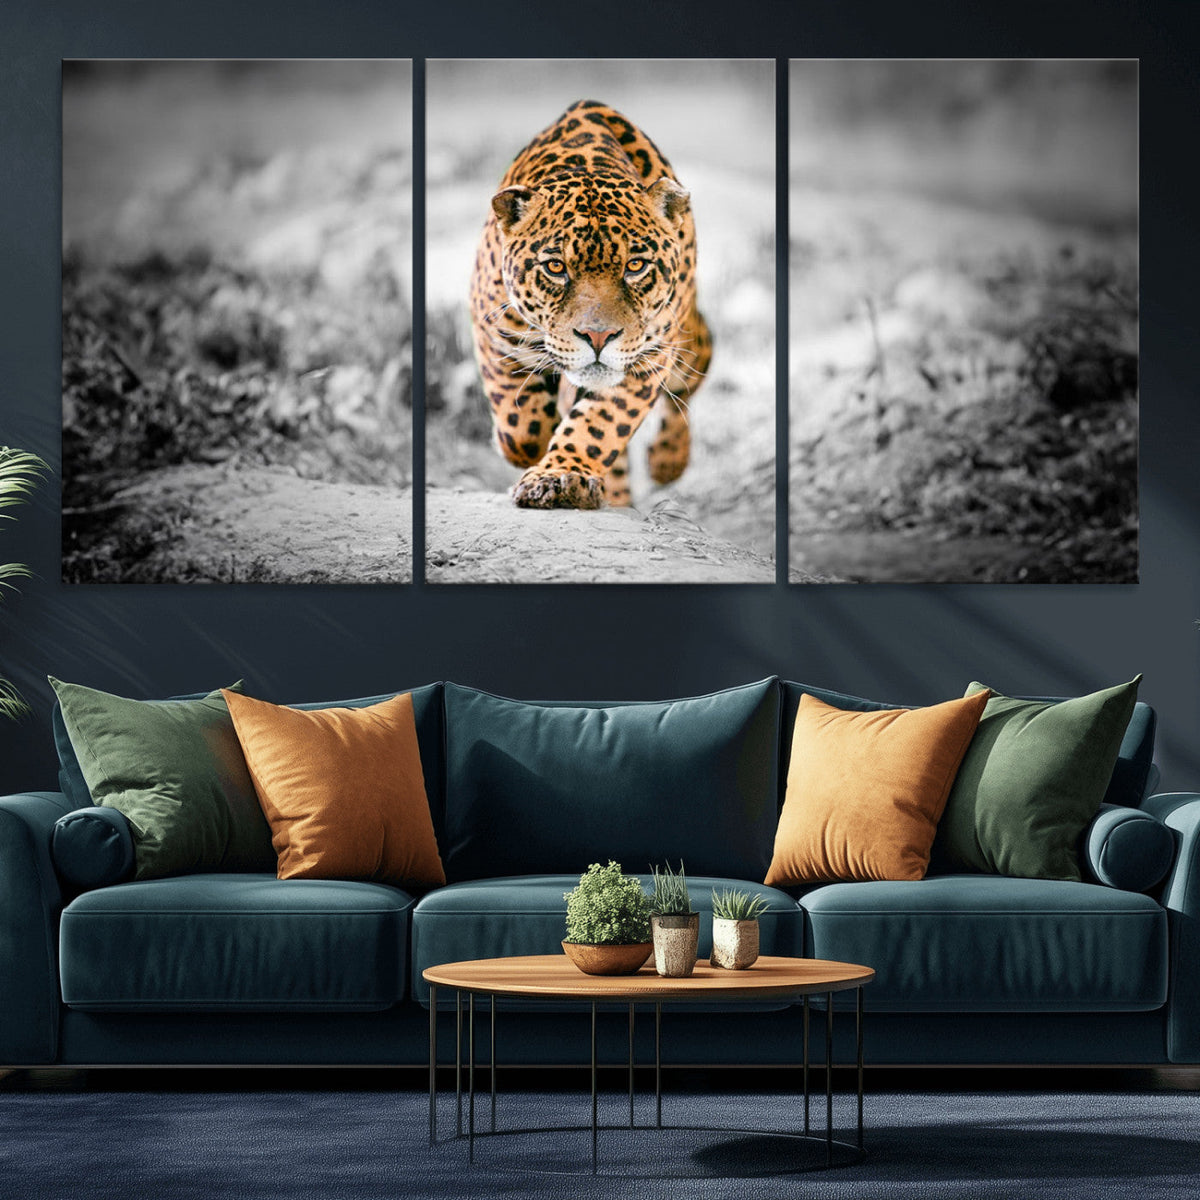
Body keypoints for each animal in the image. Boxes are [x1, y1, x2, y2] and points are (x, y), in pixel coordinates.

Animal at [469, 99, 712, 509]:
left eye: (635, 266)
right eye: (555, 267)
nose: (598, 337)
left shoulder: (649, 357)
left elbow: (601, 424)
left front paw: (560, 476)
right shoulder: (494, 332)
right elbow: (521, 426)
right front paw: (533, 450)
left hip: (687, 342)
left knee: (687, 383)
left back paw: (668, 461)